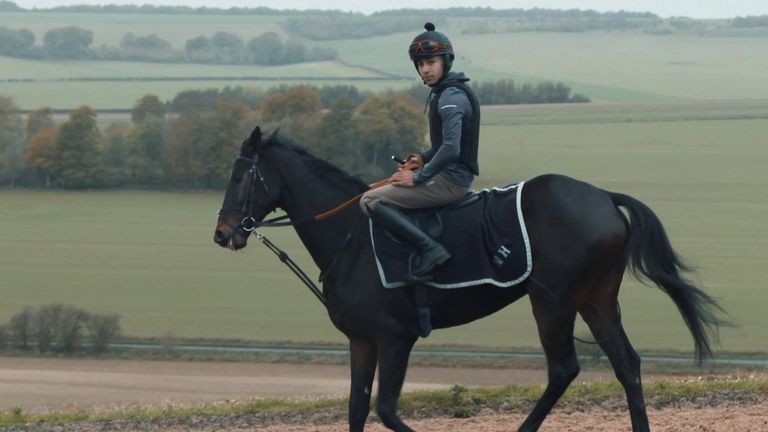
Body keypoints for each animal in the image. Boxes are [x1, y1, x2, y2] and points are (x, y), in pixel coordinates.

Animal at [214, 126, 728, 430]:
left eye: (240, 177)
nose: (222, 234)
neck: (351, 237)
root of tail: (601, 195)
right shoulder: (362, 340)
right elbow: (358, 409)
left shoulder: (396, 337)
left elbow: (386, 410)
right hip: (595, 301)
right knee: (627, 365)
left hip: (552, 302)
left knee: (564, 368)